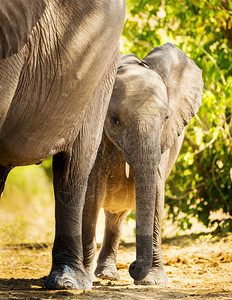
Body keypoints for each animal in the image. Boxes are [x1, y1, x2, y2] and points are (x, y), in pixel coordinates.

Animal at [82, 43, 203, 284]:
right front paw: (86, 279)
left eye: (166, 118)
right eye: (114, 119)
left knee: (116, 216)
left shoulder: (162, 139)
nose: (133, 266)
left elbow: (156, 191)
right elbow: (92, 190)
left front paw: (153, 281)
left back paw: (108, 275)